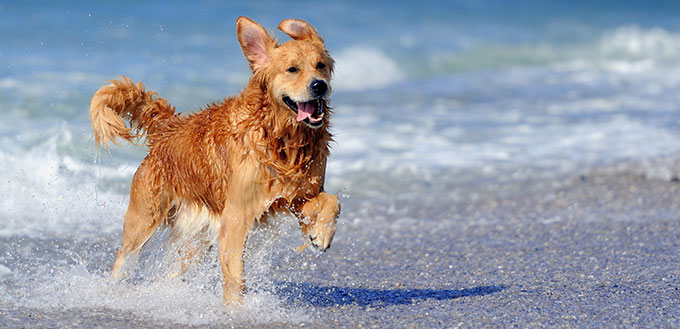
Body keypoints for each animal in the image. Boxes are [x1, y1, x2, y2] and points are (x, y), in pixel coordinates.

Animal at [89, 16, 340, 304]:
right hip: (144, 218)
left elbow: (332, 200)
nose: (319, 85)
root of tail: (167, 129)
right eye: (292, 69)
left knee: (173, 271)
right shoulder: (237, 215)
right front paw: (236, 309)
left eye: (320, 66)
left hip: (196, 239)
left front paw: (321, 234)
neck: (281, 137)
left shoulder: (297, 196)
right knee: (124, 256)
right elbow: (234, 276)